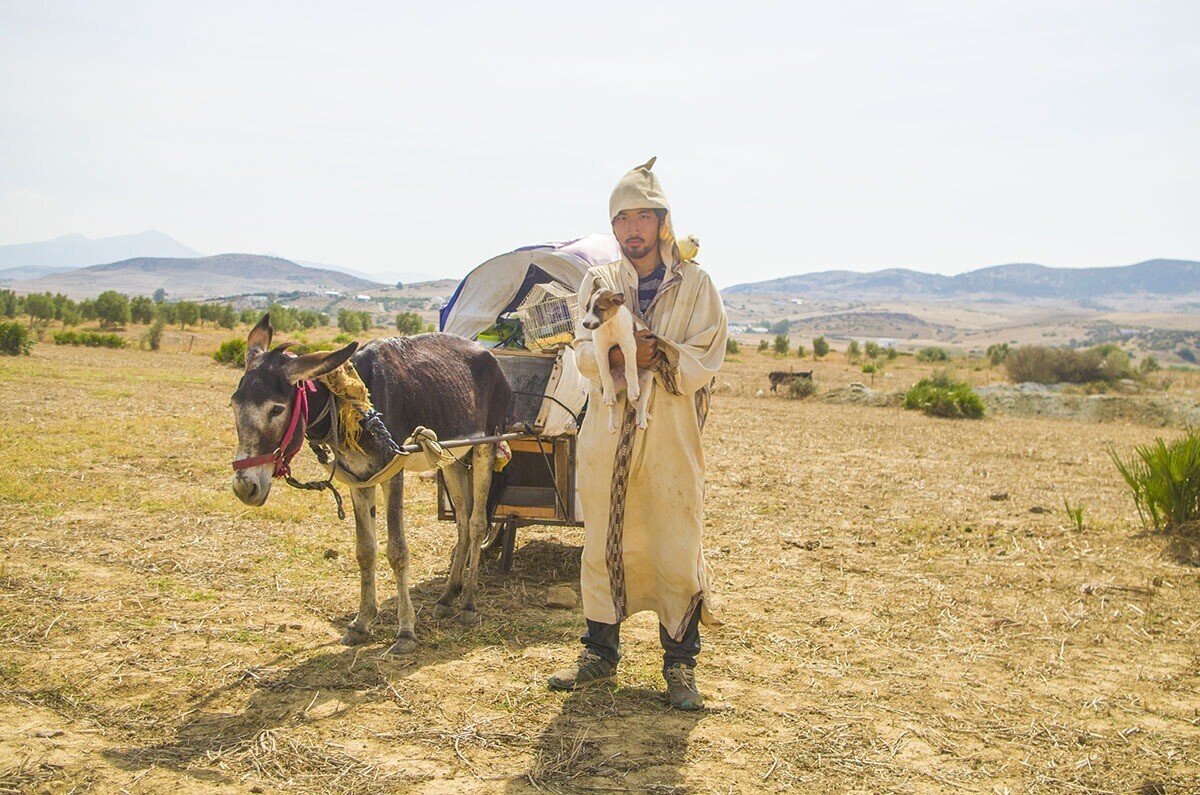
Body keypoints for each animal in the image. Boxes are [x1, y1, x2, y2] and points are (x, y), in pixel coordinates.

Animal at [580, 287, 657, 432]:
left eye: (599, 309)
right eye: (587, 308)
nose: (585, 324)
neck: (609, 325)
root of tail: (623, 384)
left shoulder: (629, 345)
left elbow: (630, 369)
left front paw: (633, 389)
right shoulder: (601, 351)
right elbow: (605, 373)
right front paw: (609, 395)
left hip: (647, 378)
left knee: (642, 402)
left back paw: (642, 419)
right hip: (603, 387)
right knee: (613, 404)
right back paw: (612, 421)